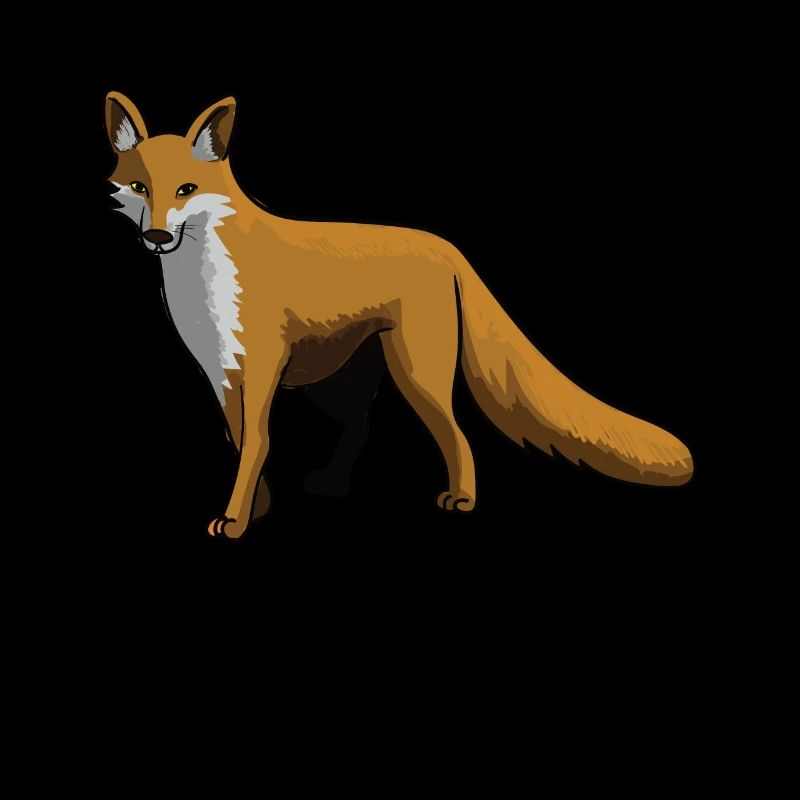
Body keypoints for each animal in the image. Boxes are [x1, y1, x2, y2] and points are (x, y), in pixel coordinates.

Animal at [105, 92, 693, 539]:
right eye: (139, 188)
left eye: (186, 190)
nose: (155, 236)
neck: (203, 287)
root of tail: (447, 246)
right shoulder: (221, 372)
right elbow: (239, 441)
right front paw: (258, 510)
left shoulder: (262, 366)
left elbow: (257, 444)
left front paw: (237, 520)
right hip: (353, 379)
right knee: (365, 425)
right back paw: (335, 486)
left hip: (418, 376)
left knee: (458, 435)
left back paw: (462, 500)